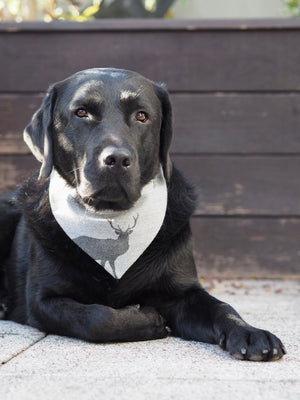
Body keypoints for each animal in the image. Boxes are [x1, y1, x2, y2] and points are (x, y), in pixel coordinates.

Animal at [0, 67, 286, 360]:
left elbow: (221, 307)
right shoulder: (42, 300)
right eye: (81, 112)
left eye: (141, 116)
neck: (109, 214)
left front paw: (250, 332)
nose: (116, 159)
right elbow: (97, 318)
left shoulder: (183, 293)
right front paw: (147, 319)